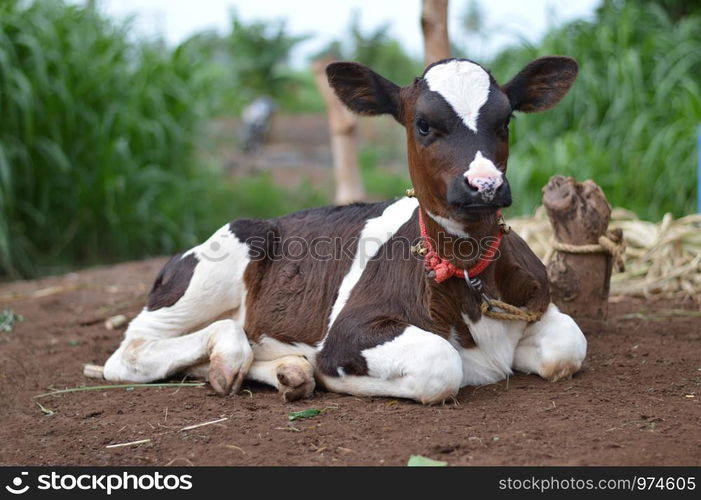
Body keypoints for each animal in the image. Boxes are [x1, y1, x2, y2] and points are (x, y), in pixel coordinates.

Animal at [100, 56, 584, 404]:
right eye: (423, 124)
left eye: (505, 121)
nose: (485, 185)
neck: (466, 274)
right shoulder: (346, 334)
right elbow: (442, 364)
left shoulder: (535, 301)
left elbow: (570, 344)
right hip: (217, 264)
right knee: (132, 350)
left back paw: (288, 371)